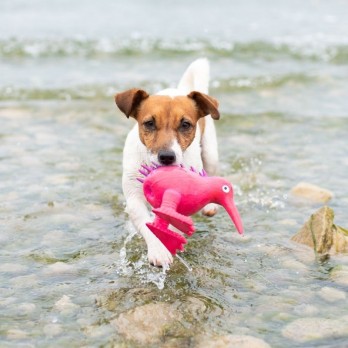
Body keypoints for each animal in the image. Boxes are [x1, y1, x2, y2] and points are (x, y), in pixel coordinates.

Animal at [115, 59, 222, 266]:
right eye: (149, 123)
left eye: (185, 125)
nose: (166, 157)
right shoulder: (134, 197)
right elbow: (146, 223)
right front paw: (158, 250)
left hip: (211, 154)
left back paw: (209, 206)